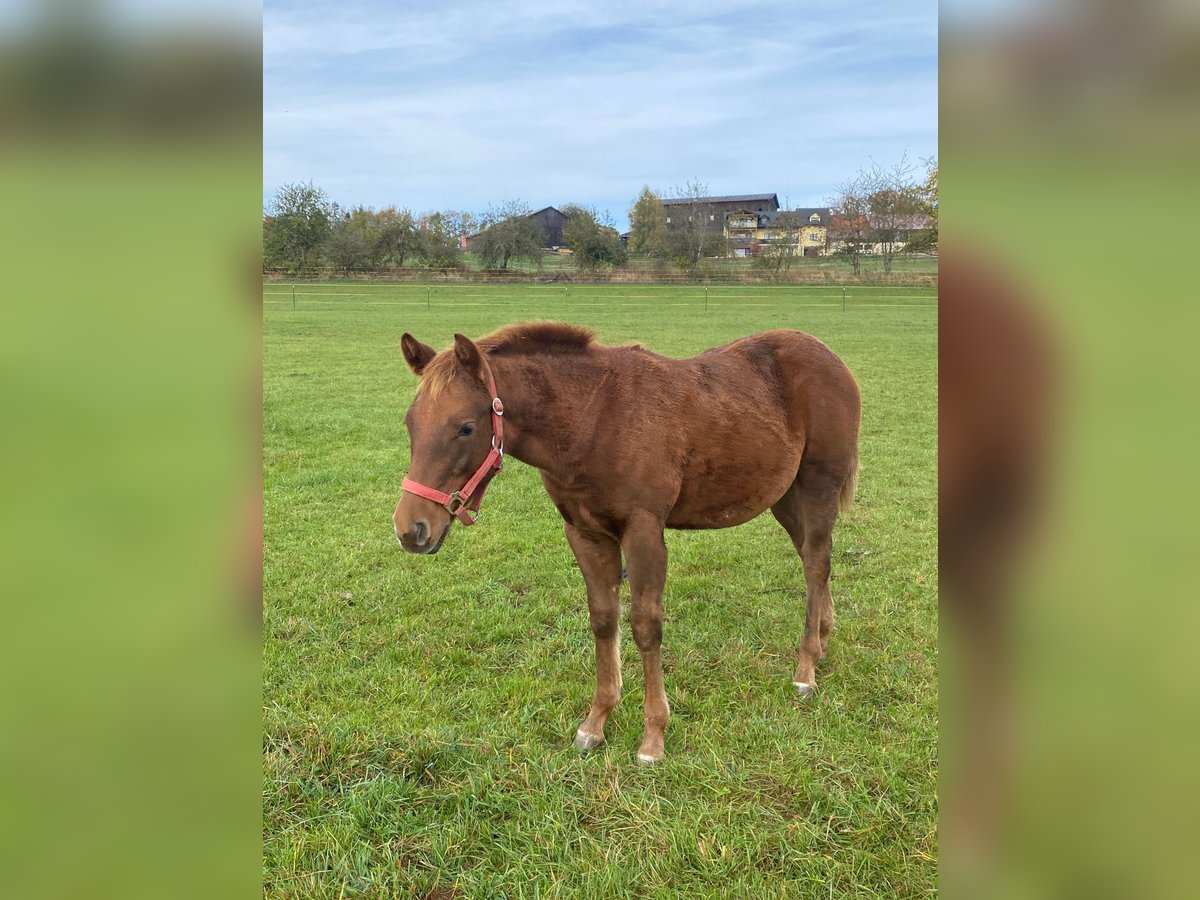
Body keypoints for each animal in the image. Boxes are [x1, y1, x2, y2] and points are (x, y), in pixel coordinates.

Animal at [396, 324, 864, 768]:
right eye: (409, 423)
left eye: (466, 427)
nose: (410, 529)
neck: (594, 419)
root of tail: (832, 359)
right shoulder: (585, 533)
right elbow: (604, 620)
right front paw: (595, 722)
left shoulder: (643, 531)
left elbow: (644, 624)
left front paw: (653, 738)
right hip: (783, 496)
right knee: (812, 560)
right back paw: (823, 639)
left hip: (818, 486)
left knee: (817, 563)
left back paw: (806, 668)